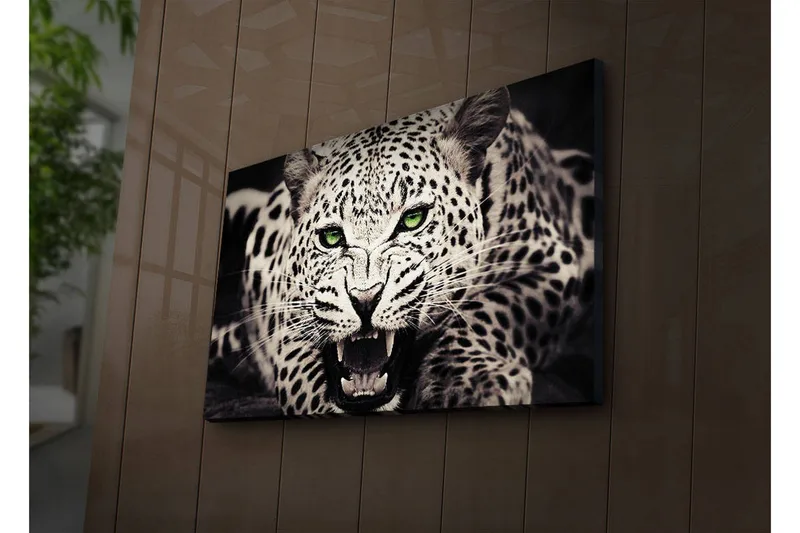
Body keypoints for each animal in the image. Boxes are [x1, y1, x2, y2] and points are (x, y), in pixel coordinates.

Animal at [208, 86, 597, 418]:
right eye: (331, 237)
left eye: (413, 218)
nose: (364, 299)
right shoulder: (286, 310)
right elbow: (298, 365)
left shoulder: (551, 263)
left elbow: (490, 309)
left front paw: (465, 384)